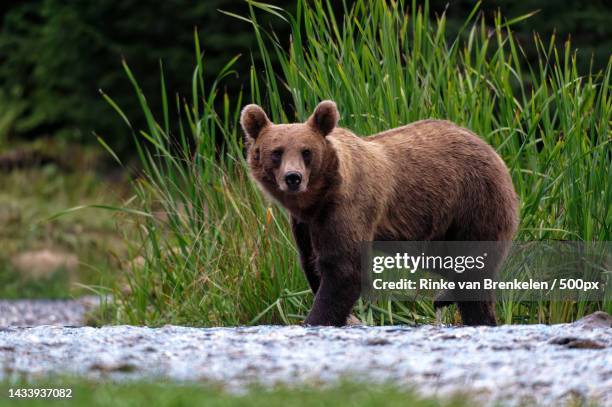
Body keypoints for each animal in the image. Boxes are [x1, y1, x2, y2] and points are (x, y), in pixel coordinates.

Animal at [241, 100, 520, 326]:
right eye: (276, 152)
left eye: (306, 151)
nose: (293, 177)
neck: (318, 198)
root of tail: (492, 150)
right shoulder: (305, 223)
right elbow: (311, 263)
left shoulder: (347, 207)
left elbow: (343, 269)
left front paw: (315, 319)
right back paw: (447, 296)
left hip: (474, 203)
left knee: (475, 268)